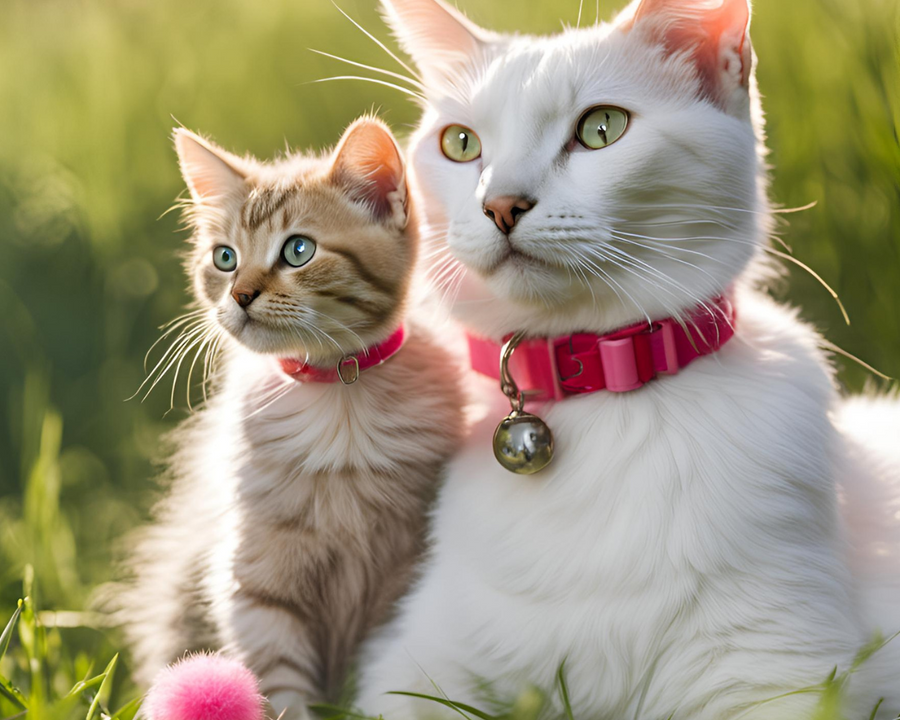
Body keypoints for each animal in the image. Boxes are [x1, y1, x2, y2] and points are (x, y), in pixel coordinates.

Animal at [118, 119, 464, 720]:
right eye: (225, 258)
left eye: (298, 251)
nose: (240, 294)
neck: (339, 406)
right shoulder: (256, 582)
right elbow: (276, 686)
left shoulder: (402, 576)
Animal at [356, 1, 900, 720]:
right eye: (461, 144)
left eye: (601, 128)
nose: (499, 205)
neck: (601, 398)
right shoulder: (411, 665)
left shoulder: (787, 671)